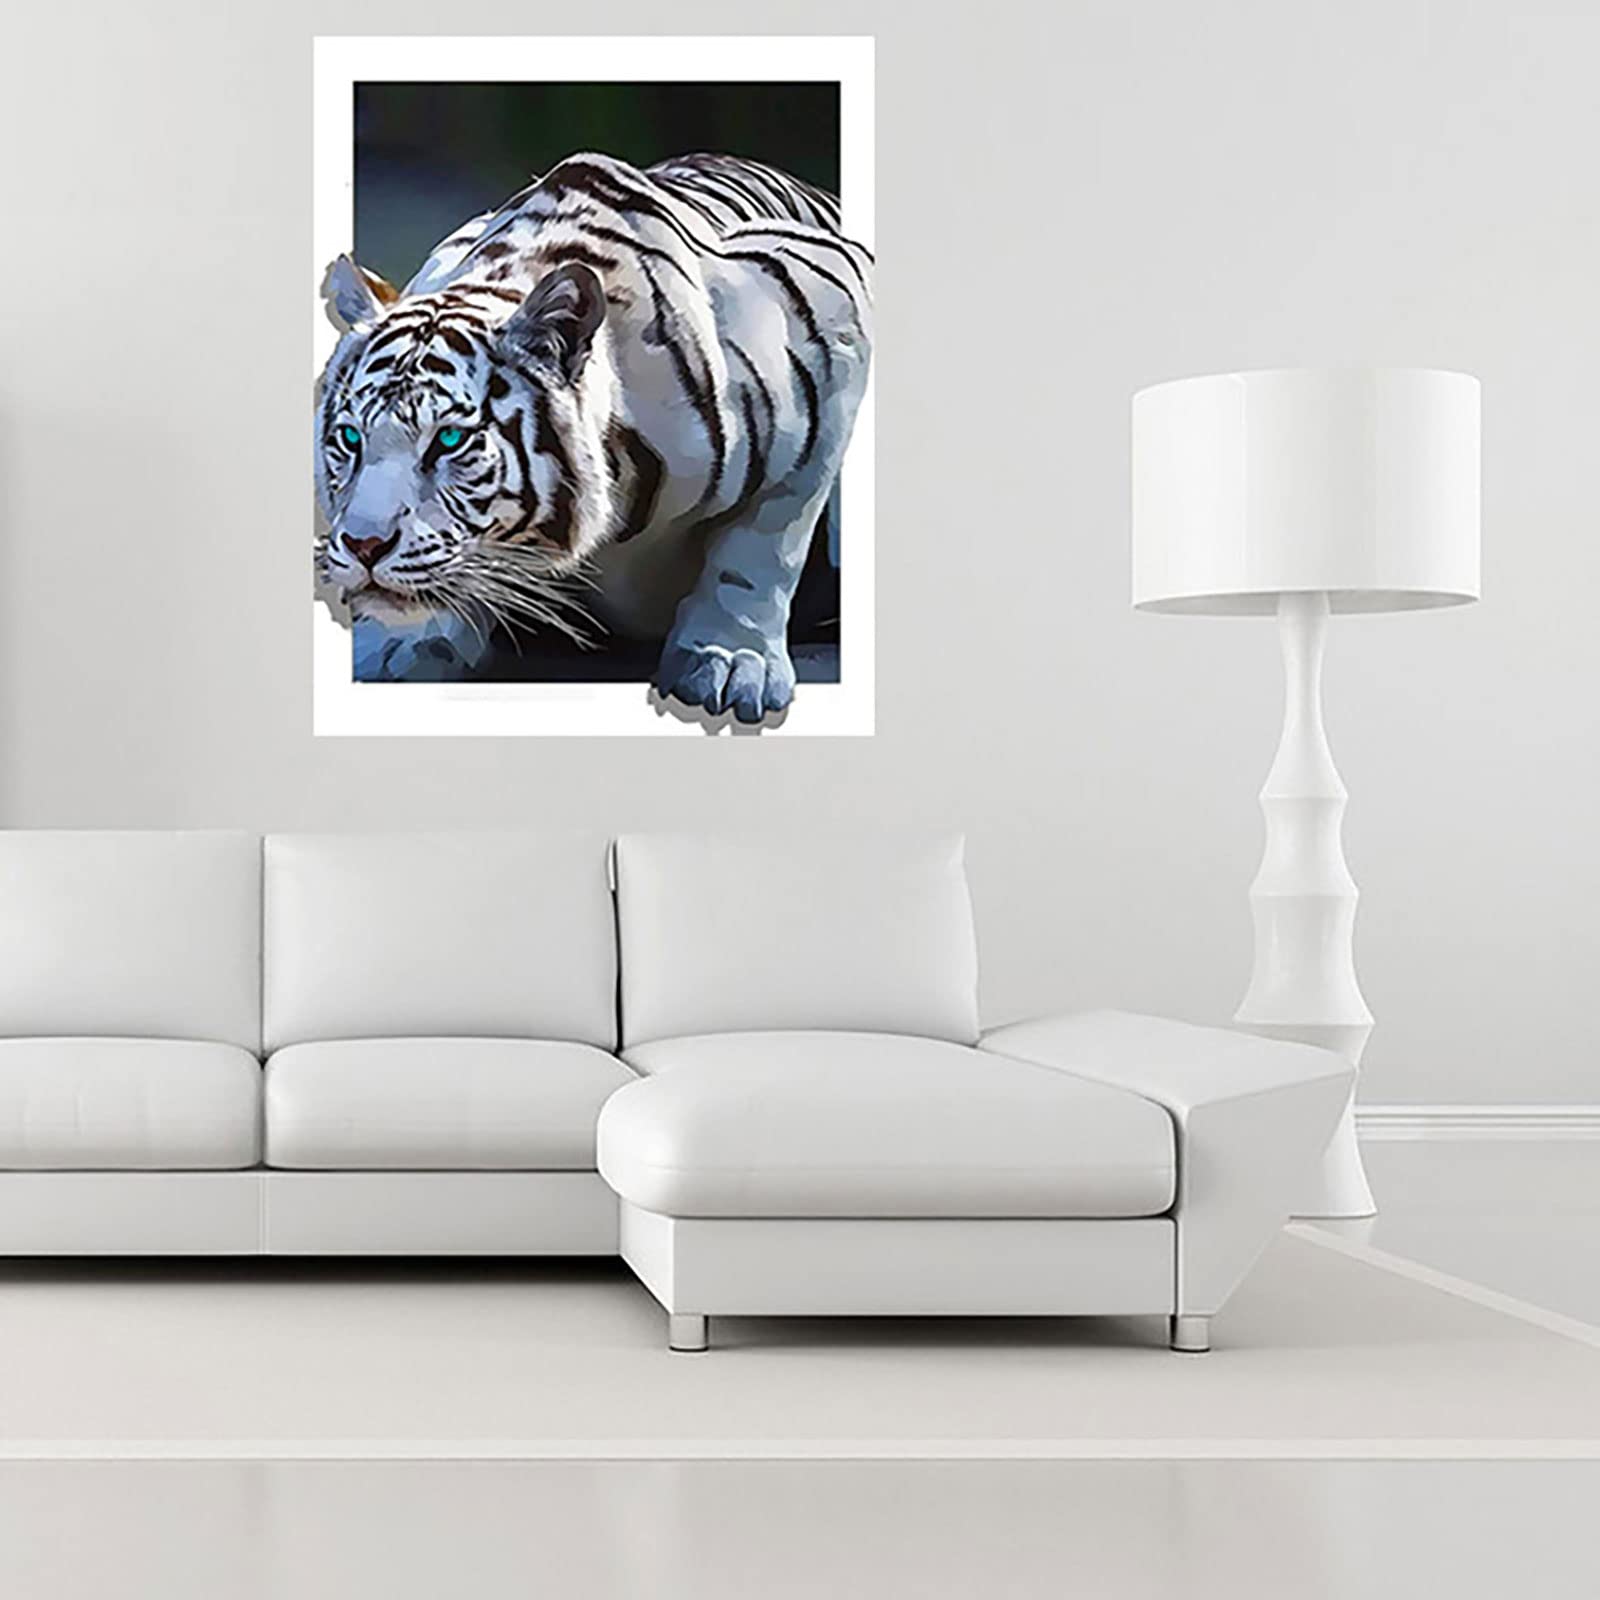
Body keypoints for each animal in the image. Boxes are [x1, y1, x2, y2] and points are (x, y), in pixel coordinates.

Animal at [314, 150, 874, 724]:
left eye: (449, 440)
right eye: (351, 438)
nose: (363, 547)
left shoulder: (833, 322)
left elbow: (764, 544)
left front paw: (730, 660)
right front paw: (401, 641)